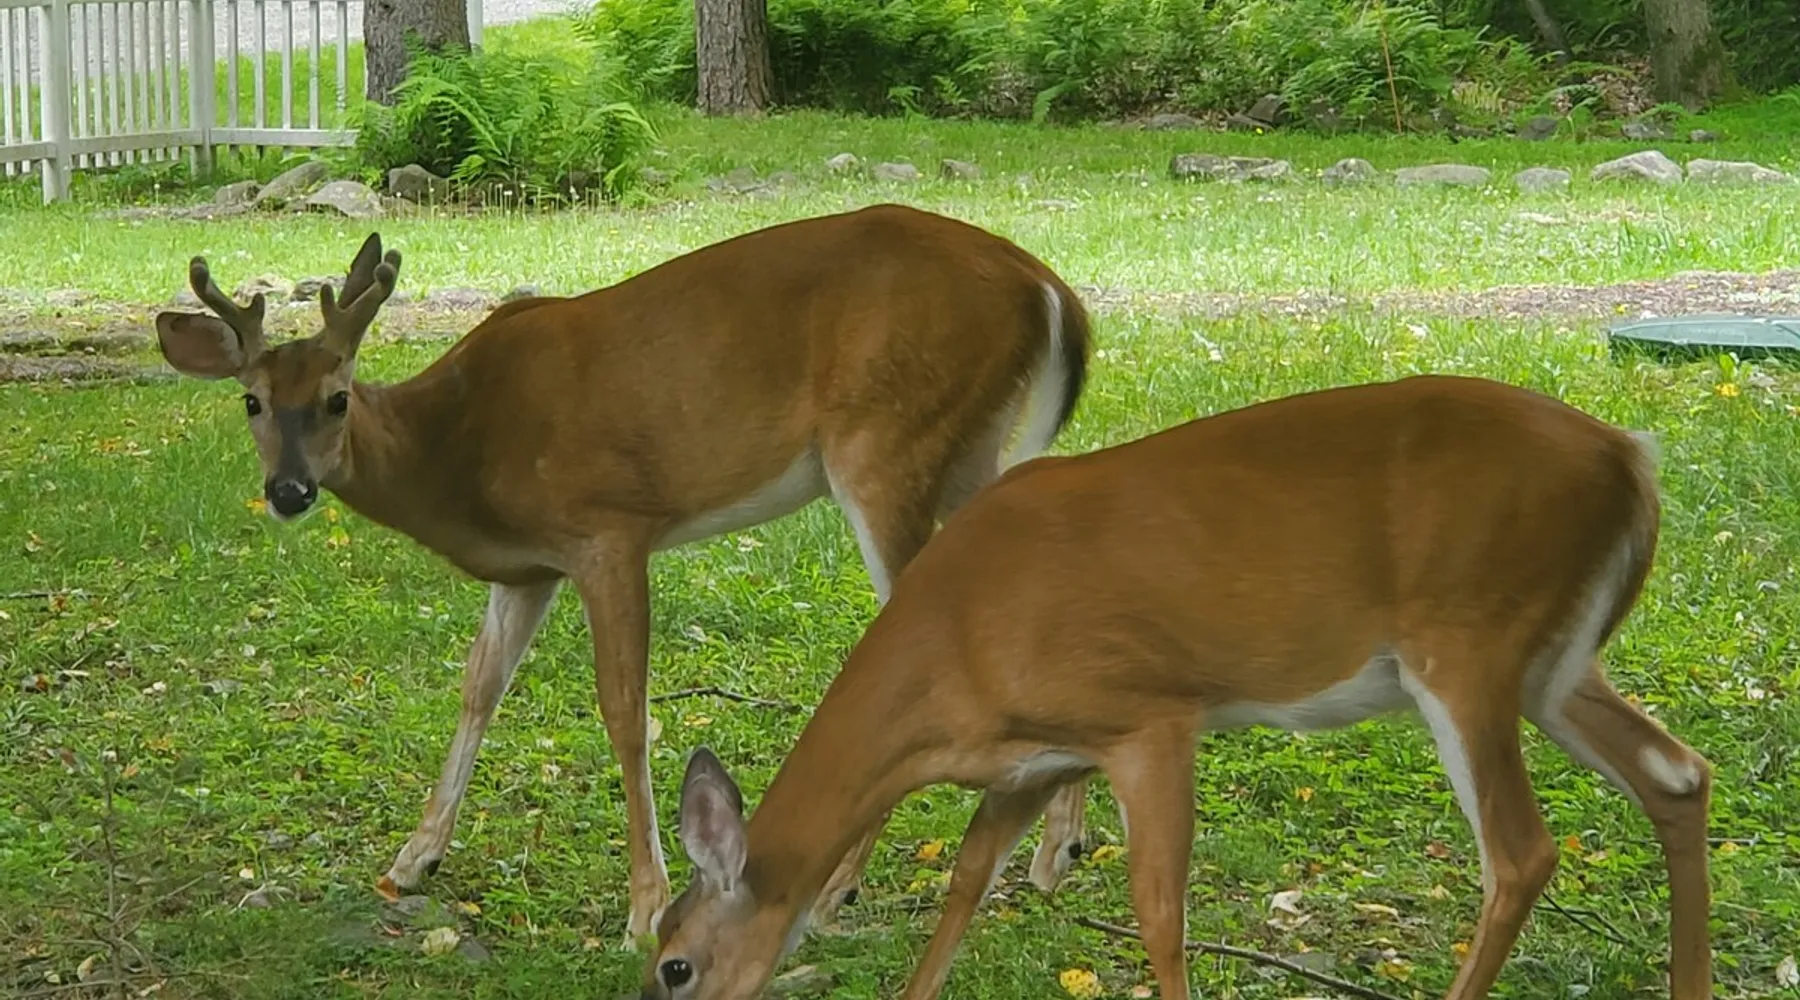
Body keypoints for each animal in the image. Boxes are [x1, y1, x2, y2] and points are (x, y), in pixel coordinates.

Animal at [149, 204, 1096, 946]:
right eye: (252, 401)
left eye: (338, 397)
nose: (290, 490)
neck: (460, 454)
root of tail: (1048, 288)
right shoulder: (527, 567)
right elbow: (479, 686)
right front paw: (414, 859)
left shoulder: (608, 529)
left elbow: (624, 710)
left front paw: (644, 907)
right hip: (966, 448)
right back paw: (1057, 852)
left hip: (886, 442)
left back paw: (840, 891)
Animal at [642, 373, 1714, 1000]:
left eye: (674, 966)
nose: (666, 977)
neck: (952, 651)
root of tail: (1633, 460)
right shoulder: (1034, 758)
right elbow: (966, 883)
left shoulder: (1146, 716)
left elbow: (1161, 913)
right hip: (1552, 662)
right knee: (1677, 773)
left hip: (1471, 644)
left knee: (1523, 853)